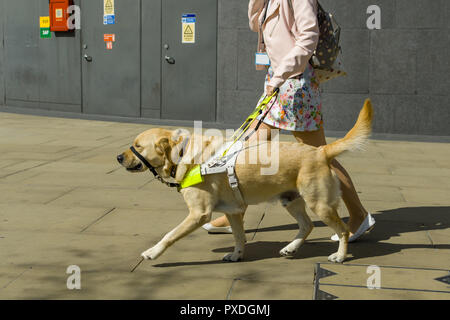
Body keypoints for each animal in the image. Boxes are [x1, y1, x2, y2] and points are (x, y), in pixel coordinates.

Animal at [116, 99, 372, 262]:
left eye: (138, 146)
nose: (118, 157)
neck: (185, 153)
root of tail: (320, 151)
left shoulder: (199, 214)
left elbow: (169, 235)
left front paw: (153, 252)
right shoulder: (233, 211)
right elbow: (239, 237)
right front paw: (237, 255)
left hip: (319, 204)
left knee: (342, 231)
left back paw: (340, 255)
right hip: (291, 200)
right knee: (307, 226)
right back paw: (290, 248)